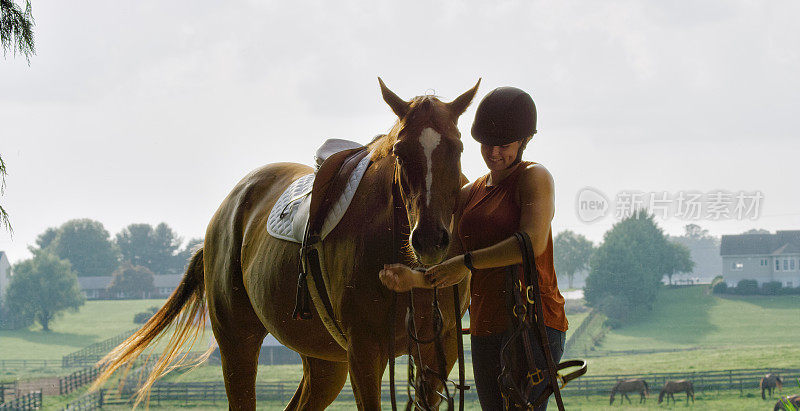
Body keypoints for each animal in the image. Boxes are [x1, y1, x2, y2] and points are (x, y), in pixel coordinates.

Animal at [94, 78, 482, 411]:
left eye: (458, 148)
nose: (429, 239)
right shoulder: (364, 351)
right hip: (238, 342)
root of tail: (226, 210)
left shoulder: (440, 347)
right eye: (401, 152)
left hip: (324, 361)